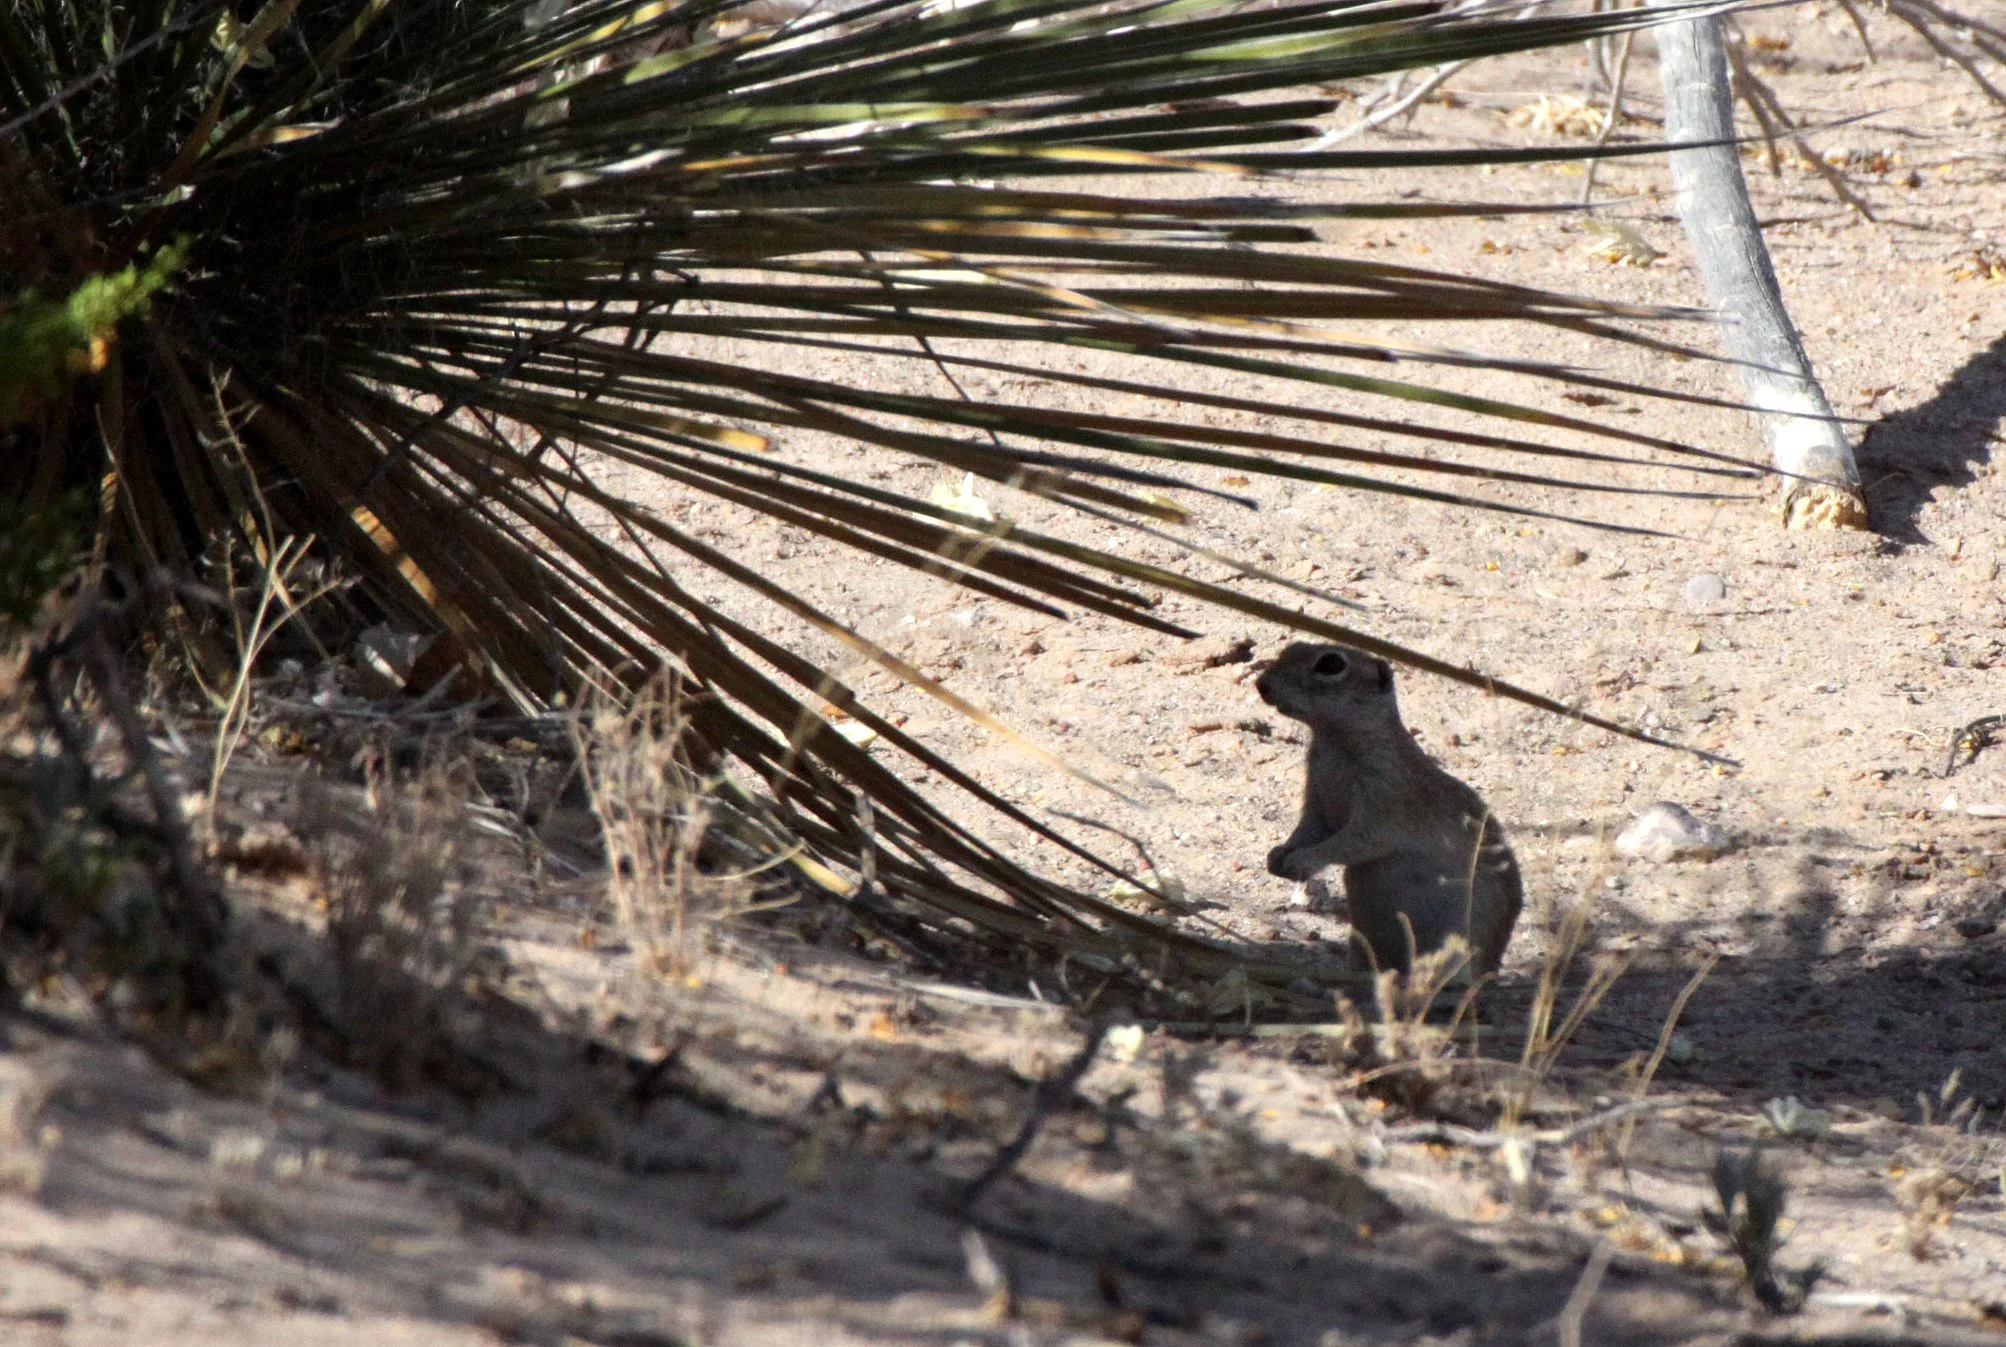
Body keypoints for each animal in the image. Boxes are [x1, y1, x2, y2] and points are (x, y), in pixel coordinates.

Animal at [1256, 642, 1522, 976]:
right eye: (1291, 648)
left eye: (1331, 664)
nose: (1261, 684)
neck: (1333, 741)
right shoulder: (1317, 802)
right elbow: (1307, 829)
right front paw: (1278, 855)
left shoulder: (1383, 802)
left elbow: (1348, 842)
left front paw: (1302, 860)